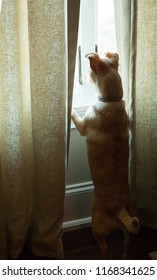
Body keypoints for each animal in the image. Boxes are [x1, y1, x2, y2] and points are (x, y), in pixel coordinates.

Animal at [72, 52, 139, 258]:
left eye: (88, 71)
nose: (82, 77)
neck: (112, 99)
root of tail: (118, 207)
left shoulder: (82, 126)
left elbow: (74, 116)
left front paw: (70, 107)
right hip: (128, 225)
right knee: (127, 241)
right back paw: (125, 256)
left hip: (96, 225)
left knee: (104, 247)